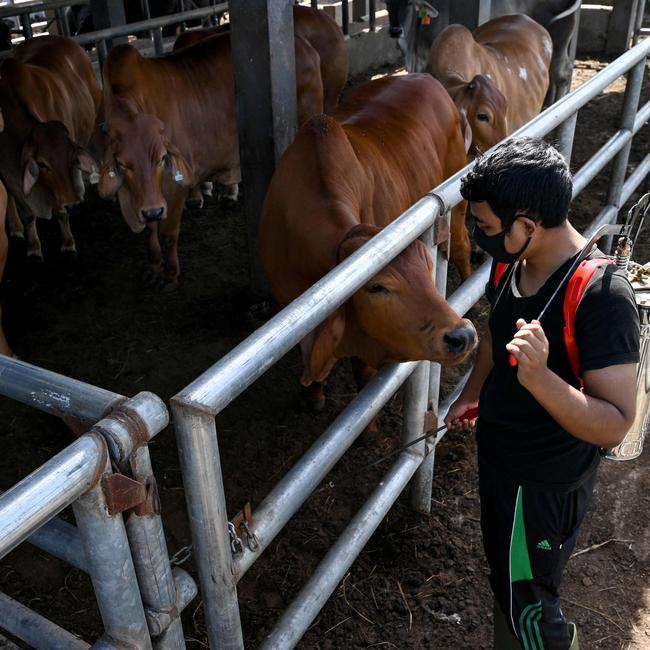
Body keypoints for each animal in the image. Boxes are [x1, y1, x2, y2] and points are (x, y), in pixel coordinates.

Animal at [0, 35, 100, 258]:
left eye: (73, 159)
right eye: (43, 164)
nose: (73, 205)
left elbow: (60, 212)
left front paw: (68, 242)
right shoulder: (10, 175)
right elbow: (27, 212)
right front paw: (33, 246)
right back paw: (16, 229)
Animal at [100, 30, 322, 284]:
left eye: (162, 158)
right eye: (122, 164)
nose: (152, 212)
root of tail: (304, 44)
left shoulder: (173, 189)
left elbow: (167, 233)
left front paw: (170, 273)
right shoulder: (145, 200)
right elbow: (150, 230)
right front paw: (154, 266)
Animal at [258, 73, 476, 402]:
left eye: (427, 269)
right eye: (376, 286)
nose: (462, 335)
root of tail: (426, 77)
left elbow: (362, 371)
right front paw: (314, 394)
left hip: (459, 202)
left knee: (462, 245)